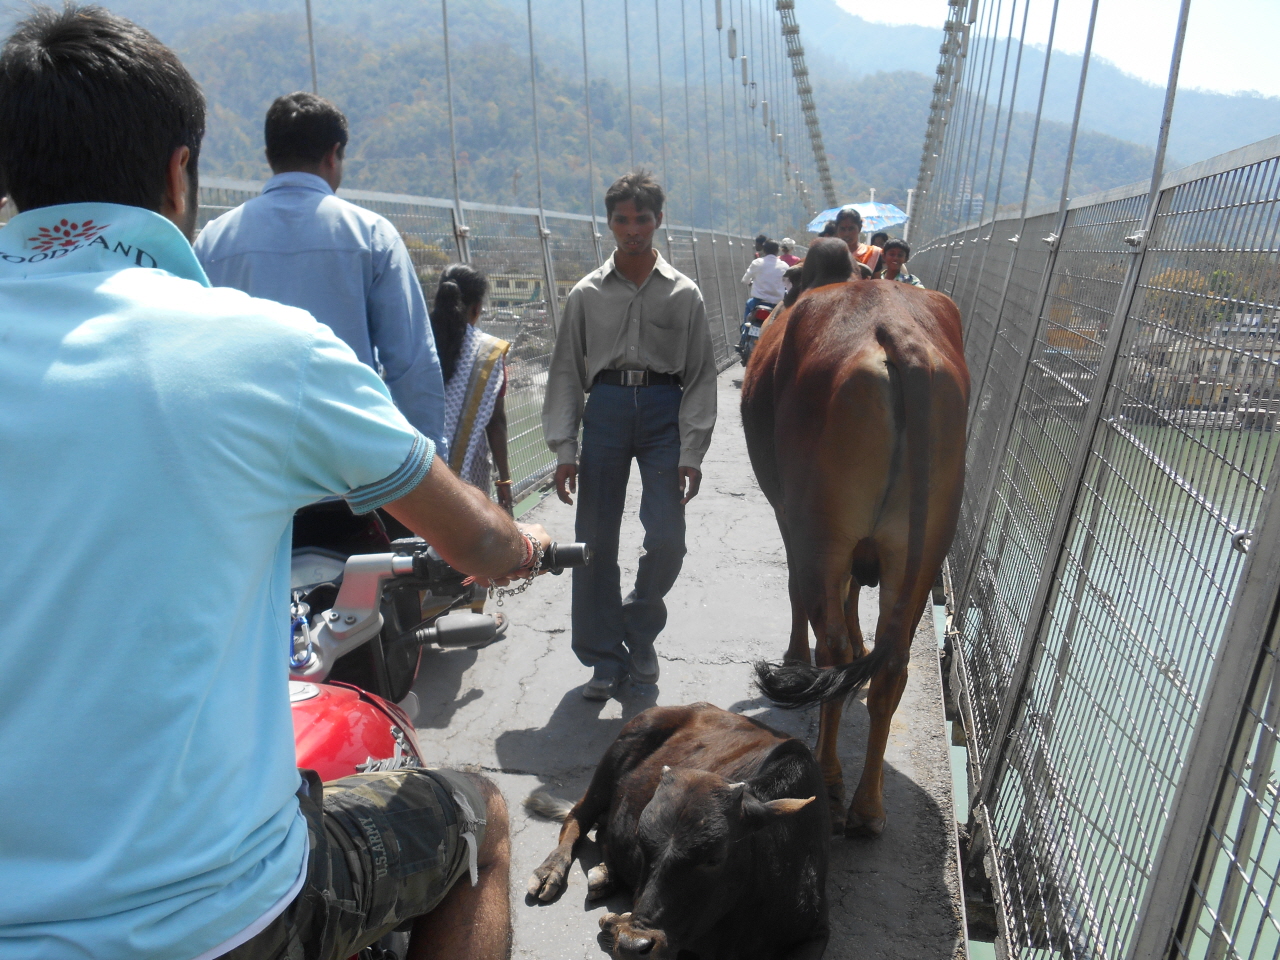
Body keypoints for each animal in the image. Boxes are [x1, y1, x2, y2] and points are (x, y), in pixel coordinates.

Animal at [524, 701, 824, 960]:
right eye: (642, 846)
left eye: (714, 858)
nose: (633, 944)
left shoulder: (815, 933)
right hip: (617, 753)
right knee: (578, 816)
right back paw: (550, 872)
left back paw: (605, 876)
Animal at [747, 252, 962, 839]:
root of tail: (896, 333)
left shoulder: (790, 519)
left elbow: (802, 597)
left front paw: (792, 655)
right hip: (923, 549)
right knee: (892, 664)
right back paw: (868, 808)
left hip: (822, 531)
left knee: (833, 649)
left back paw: (829, 776)